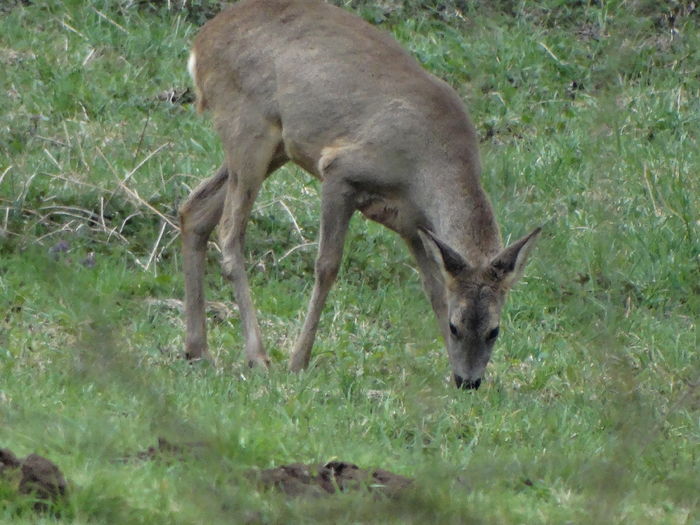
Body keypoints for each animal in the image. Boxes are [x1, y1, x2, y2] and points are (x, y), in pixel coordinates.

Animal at [180, 0, 540, 388]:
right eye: (455, 327)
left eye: (494, 331)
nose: (469, 382)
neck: (428, 165)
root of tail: (200, 44)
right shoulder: (340, 170)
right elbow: (327, 266)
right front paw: (298, 361)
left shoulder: (412, 224)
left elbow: (433, 288)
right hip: (248, 127)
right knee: (230, 232)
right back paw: (257, 357)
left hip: (276, 146)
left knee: (195, 208)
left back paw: (197, 350)